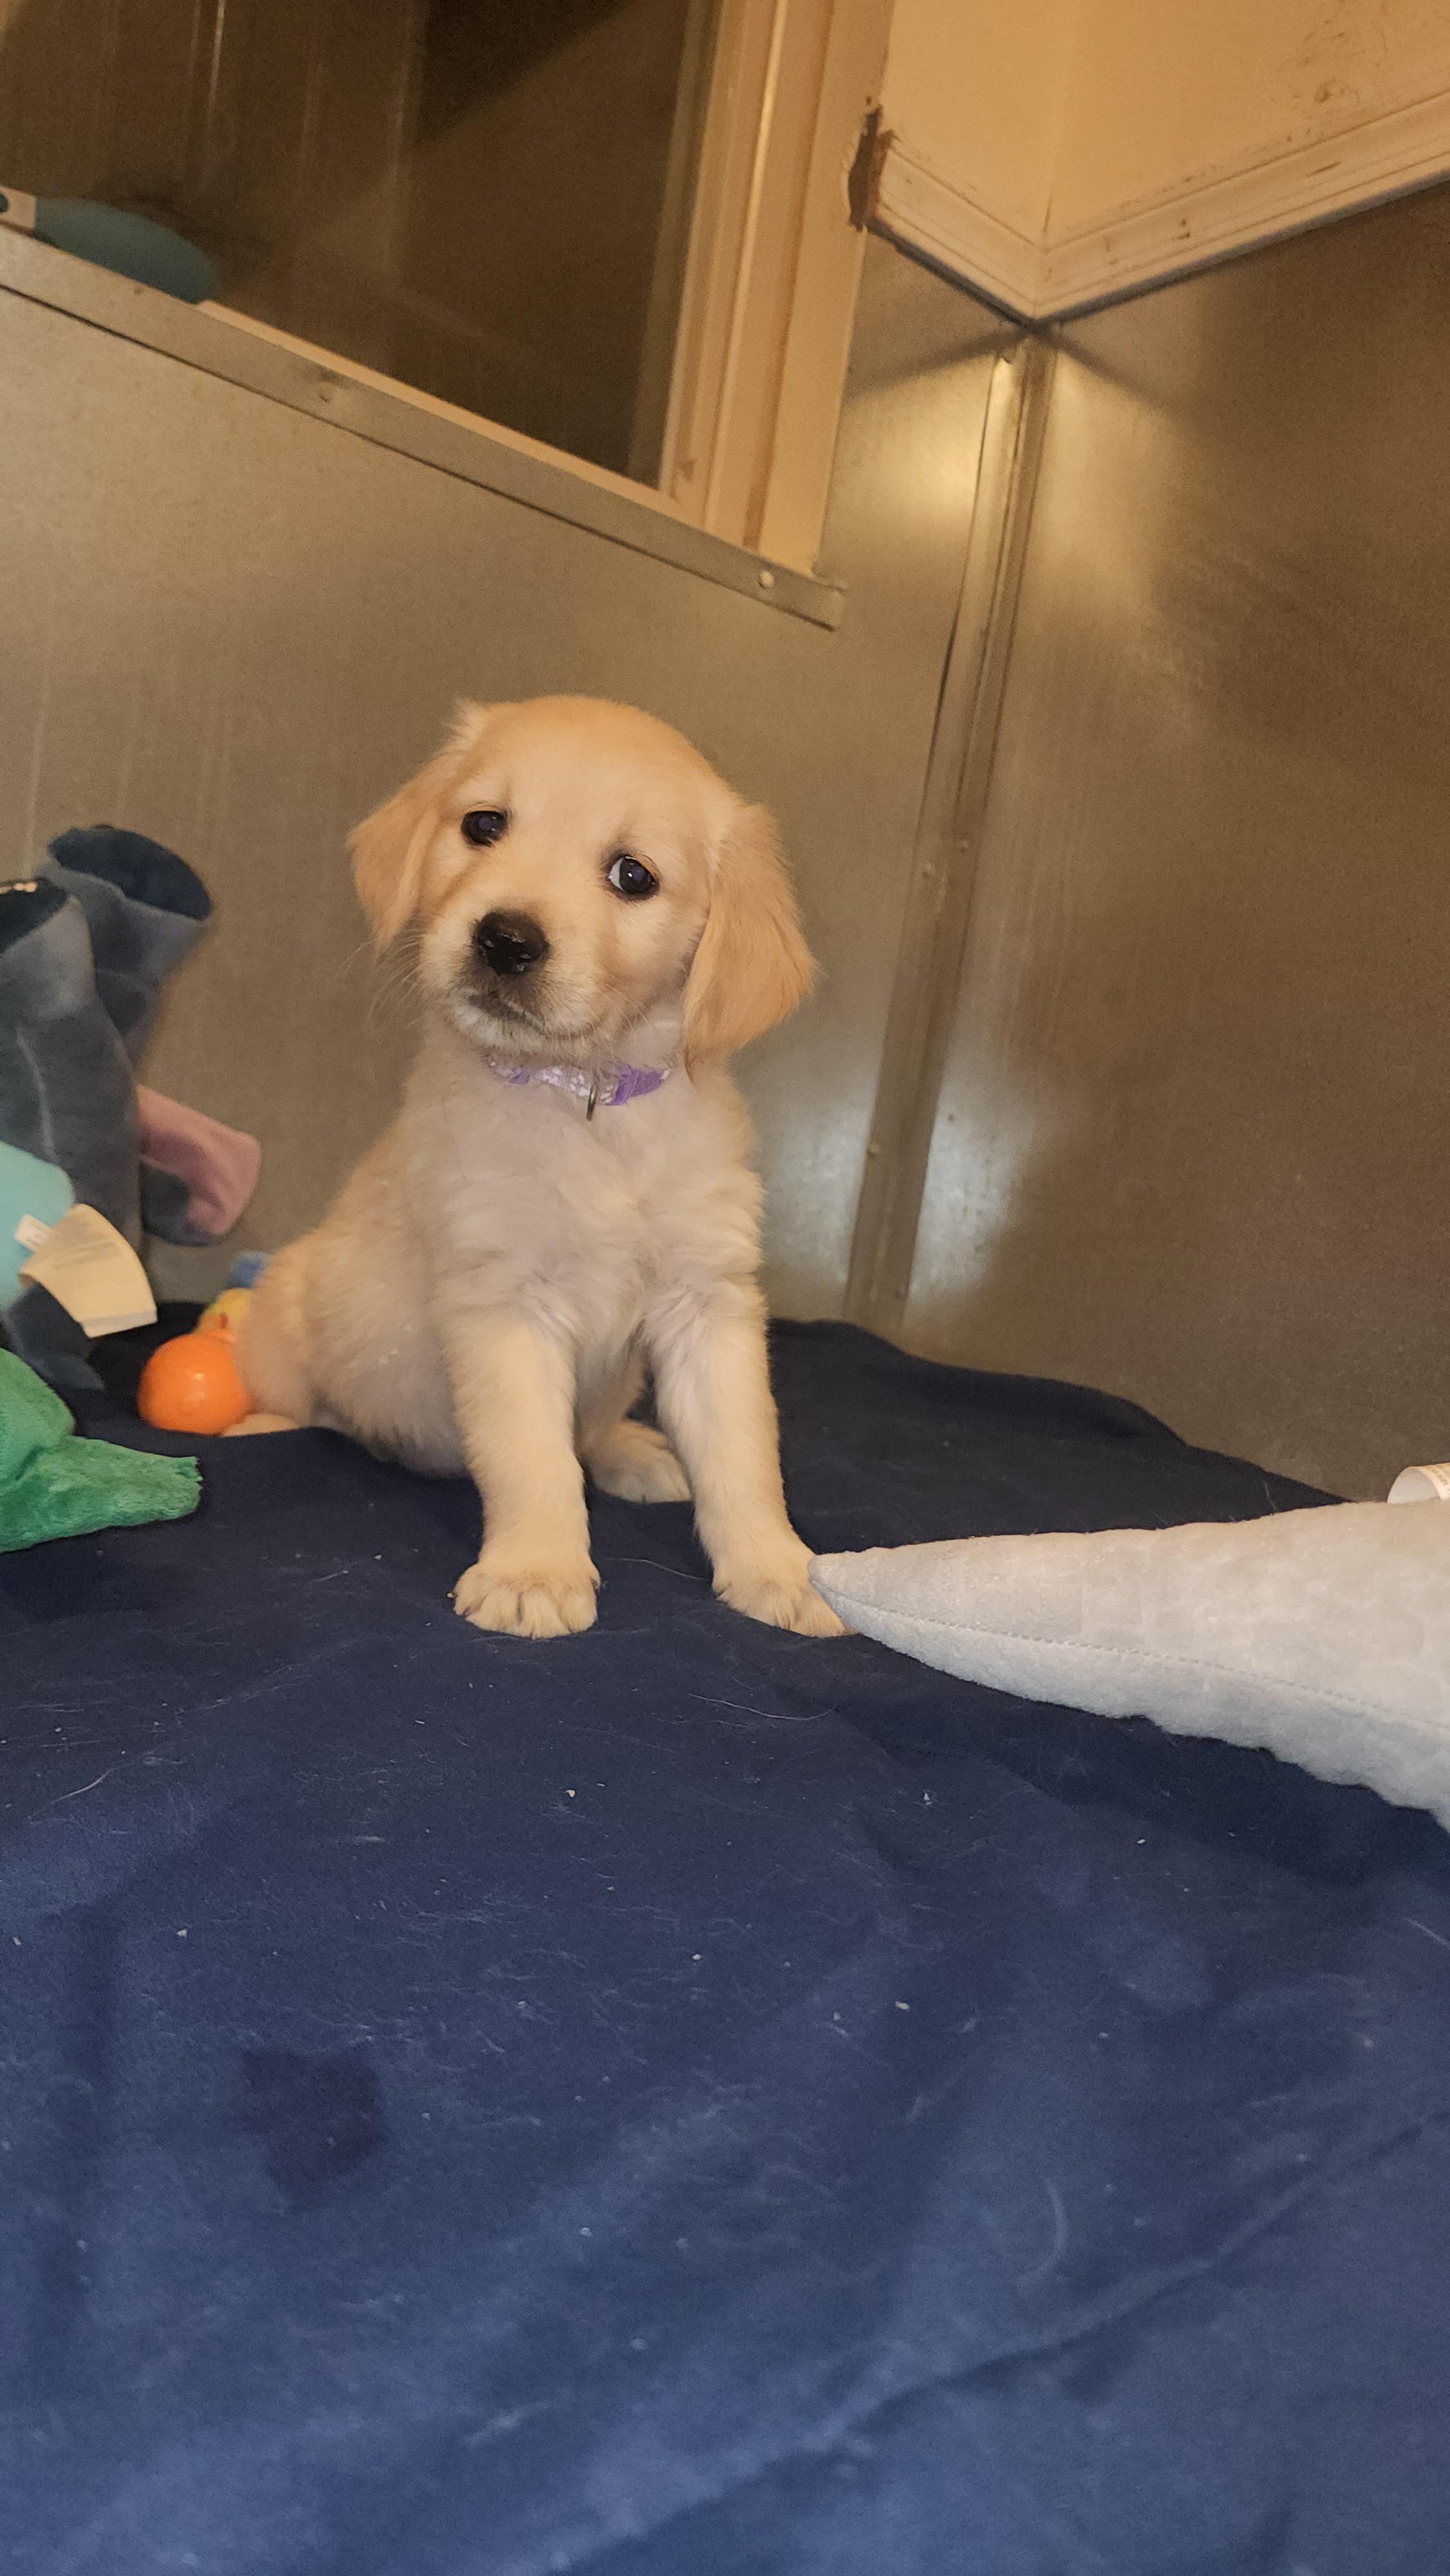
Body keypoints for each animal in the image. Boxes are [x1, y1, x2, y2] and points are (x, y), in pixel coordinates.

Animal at [237, 695, 846, 1642]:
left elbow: (745, 1454)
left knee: (598, 1434)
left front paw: (777, 1569)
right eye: (484, 824)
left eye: (632, 876)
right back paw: (263, 1425)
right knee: (290, 1393)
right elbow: (535, 1459)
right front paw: (535, 1573)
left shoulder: (710, 1301)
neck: (586, 1098)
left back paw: (633, 1451)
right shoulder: (502, 1302)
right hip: (288, 1311)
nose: (505, 939)